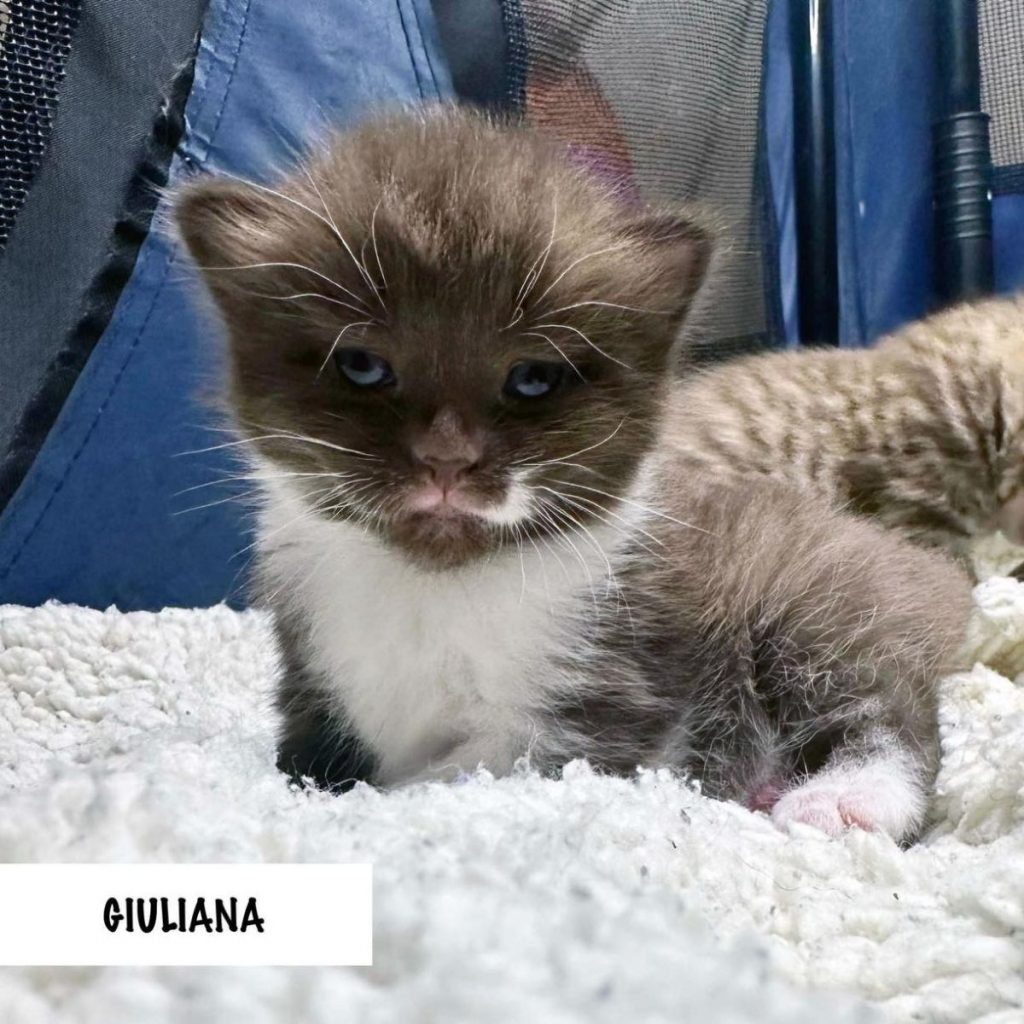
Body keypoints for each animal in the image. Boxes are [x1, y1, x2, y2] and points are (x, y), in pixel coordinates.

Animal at [174, 105, 966, 839]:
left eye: (532, 378)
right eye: (363, 365)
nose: (446, 459)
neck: (434, 587)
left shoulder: (594, 707)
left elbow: (455, 775)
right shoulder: (314, 673)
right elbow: (307, 758)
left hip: (817, 600)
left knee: (890, 711)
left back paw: (843, 798)